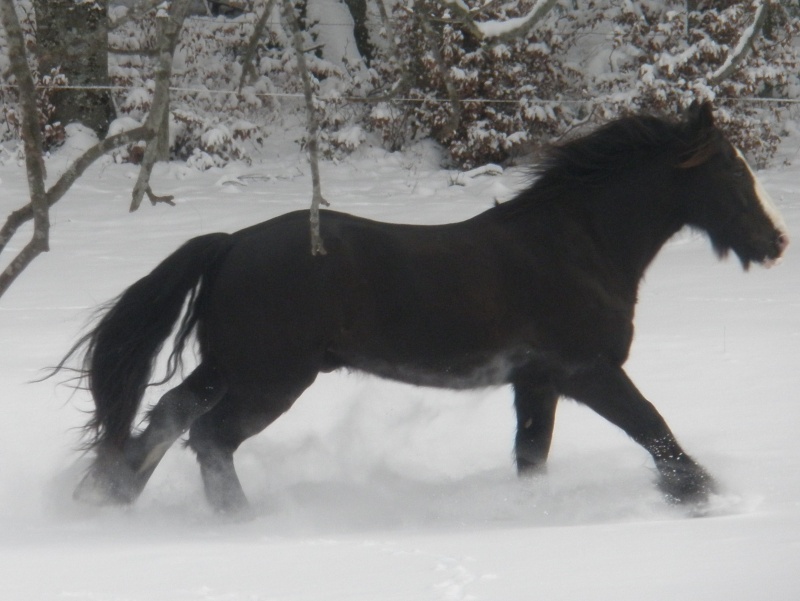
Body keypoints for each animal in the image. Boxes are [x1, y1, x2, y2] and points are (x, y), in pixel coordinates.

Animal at [64, 102, 788, 510]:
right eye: (731, 171)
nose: (775, 241)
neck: (579, 244)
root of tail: (231, 245)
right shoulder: (588, 371)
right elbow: (654, 429)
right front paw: (704, 495)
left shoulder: (538, 383)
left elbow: (533, 454)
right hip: (270, 377)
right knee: (208, 436)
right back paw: (236, 520)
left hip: (229, 367)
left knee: (166, 415)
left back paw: (111, 497)